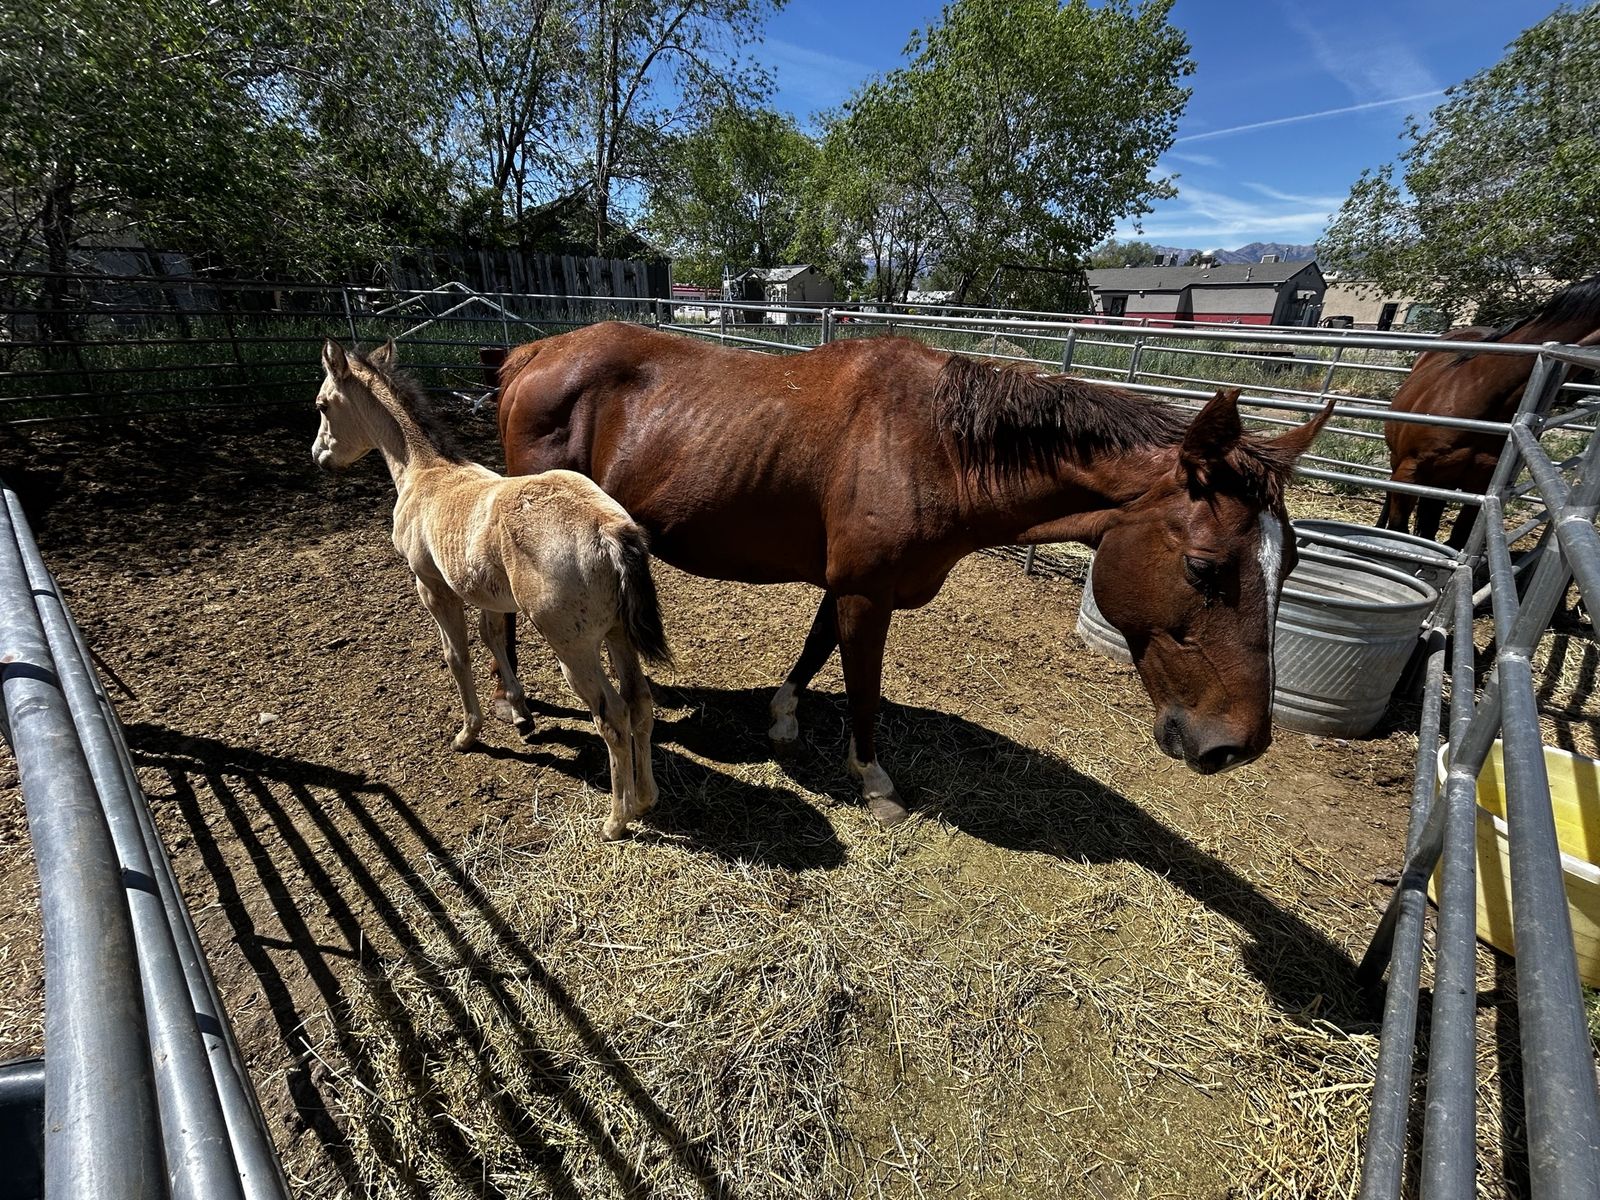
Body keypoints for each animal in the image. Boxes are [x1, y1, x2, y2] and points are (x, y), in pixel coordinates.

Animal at [312, 339, 672, 841]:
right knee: (640, 703)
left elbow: (456, 655)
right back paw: (645, 798)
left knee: (613, 717)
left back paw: (616, 820)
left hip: (574, 648)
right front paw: (519, 712)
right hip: (619, 633)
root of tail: (610, 529)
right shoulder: (488, 594)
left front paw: (468, 733)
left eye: (322, 405)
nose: (318, 456)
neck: (425, 473)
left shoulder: (433, 588)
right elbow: (493, 639)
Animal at [485, 323, 1334, 824]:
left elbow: (815, 650)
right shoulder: (868, 593)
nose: (1236, 745)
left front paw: (784, 717)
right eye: (1203, 567)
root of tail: (537, 353)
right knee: (499, 615)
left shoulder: (850, 584)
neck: (934, 446)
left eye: (1290, 563)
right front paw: (873, 780)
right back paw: (517, 706)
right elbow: (863, 687)